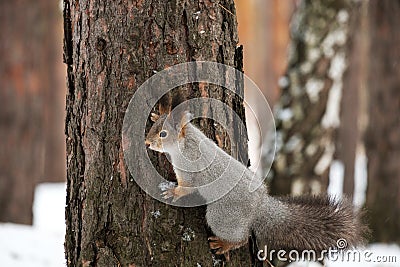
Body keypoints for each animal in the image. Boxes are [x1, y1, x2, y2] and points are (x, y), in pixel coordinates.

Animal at [145, 108, 368, 260]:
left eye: (163, 134)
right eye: (154, 128)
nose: (147, 143)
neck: (185, 143)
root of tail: (259, 205)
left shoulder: (190, 170)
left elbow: (187, 187)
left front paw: (173, 192)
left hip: (221, 216)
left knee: (241, 238)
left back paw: (224, 244)